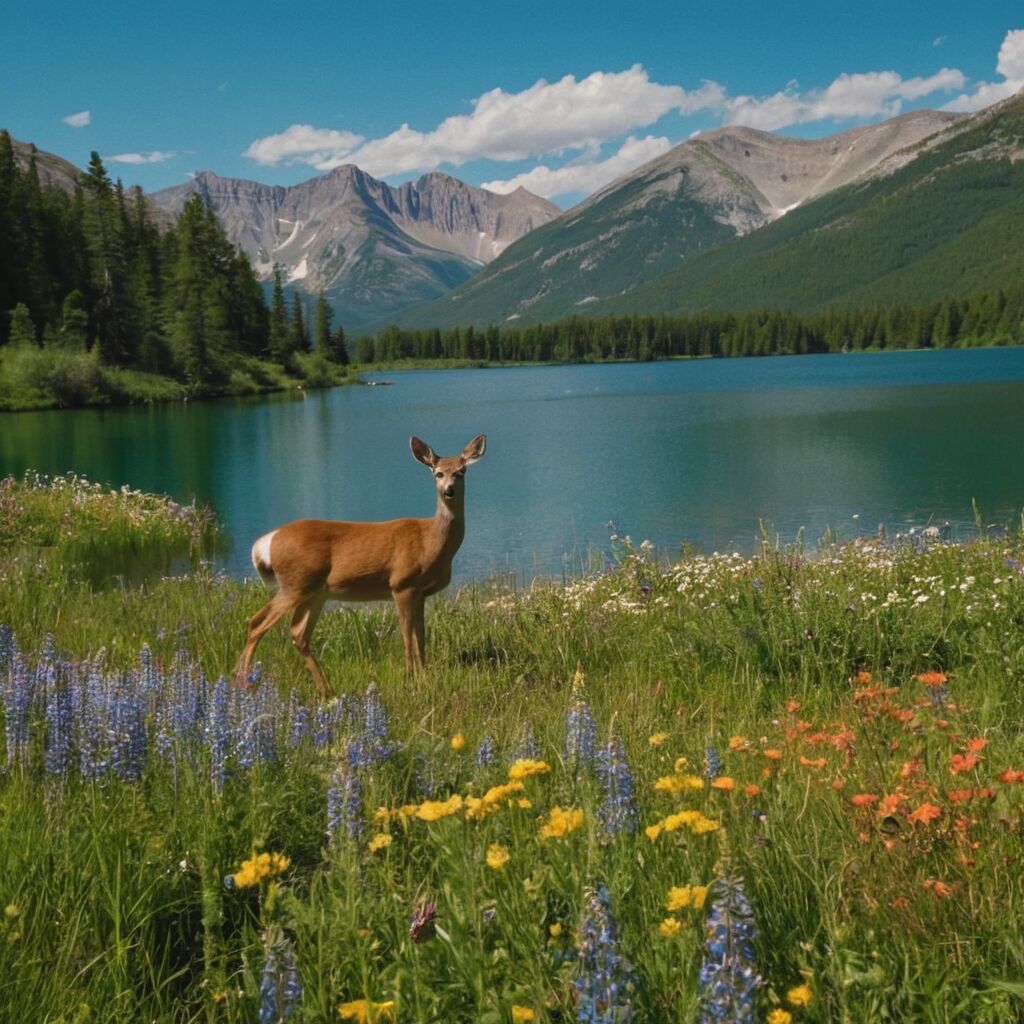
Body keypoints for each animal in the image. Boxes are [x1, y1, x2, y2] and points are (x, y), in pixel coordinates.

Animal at [234, 432, 485, 696]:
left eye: (461, 471)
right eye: (437, 473)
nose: (449, 491)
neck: (432, 543)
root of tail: (265, 542)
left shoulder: (421, 593)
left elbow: (422, 636)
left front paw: (424, 675)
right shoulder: (402, 584)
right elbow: (407, 635)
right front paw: (408, 678)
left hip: (315, 593)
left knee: (297, 634)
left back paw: (326, 690)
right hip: (295, 584)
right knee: (257, 623)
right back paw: (244, 682)